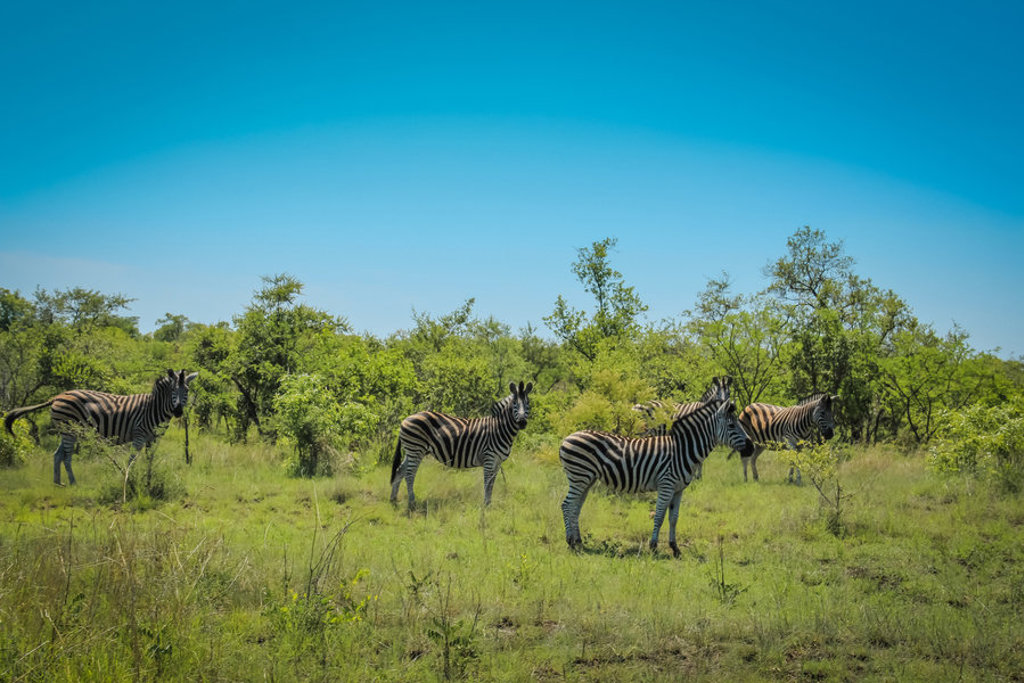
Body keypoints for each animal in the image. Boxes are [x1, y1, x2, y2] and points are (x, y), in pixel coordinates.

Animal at [3, 369, 198, 485]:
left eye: (187, 391)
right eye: (173, 391)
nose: (178, 411)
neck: (154, 408)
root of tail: (57, 396)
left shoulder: (154, 438)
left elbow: (150, 459)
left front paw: (149, 478)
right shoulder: (139, 434)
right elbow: (132, 459)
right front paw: (129, 478)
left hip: (66, 430)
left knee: (57, 455)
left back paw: (58, 483)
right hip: (70, 430)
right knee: (66, 457)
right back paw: (73, 483)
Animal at [390, 381, 533, 511]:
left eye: (528, 404)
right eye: (514, 404)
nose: (522, 422)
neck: (499, 429)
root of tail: (405, 419)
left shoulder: (498, 462)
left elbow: (492, 483)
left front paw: (489, 504)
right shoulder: (489, 458)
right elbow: (487, 483)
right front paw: (486, 505)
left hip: (412, 451)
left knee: (400, 470)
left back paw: (393, 500)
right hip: (416, 449)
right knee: (409, 474)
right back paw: (411, 503)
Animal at [560, 398, 753, 557]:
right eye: (731, 426)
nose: (751, 447)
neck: (682, 450)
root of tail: (566, 438)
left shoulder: (679, 489)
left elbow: (674, 518)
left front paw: (675, 548)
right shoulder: (666, 485)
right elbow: (659, 516)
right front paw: (653, 547)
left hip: (587, 479)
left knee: (576, 507)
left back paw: (579, 542)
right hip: (579, 476)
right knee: (567, 505)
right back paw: (570, 543)